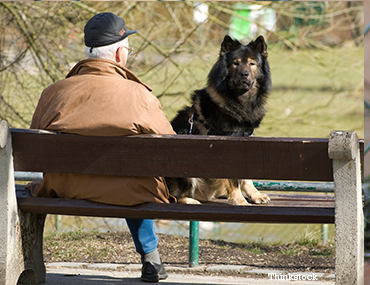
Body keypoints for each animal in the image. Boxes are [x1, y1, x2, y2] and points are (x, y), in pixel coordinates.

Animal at [166, 35, 270, 204]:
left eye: (252, 63)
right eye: (235, 63)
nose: (244, 74)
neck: (239, 100)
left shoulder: (247, 139)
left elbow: (246, 177)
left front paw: (255, 195)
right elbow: (233, 180)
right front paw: (239, 200)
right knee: (174, 197)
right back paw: (191, 201)